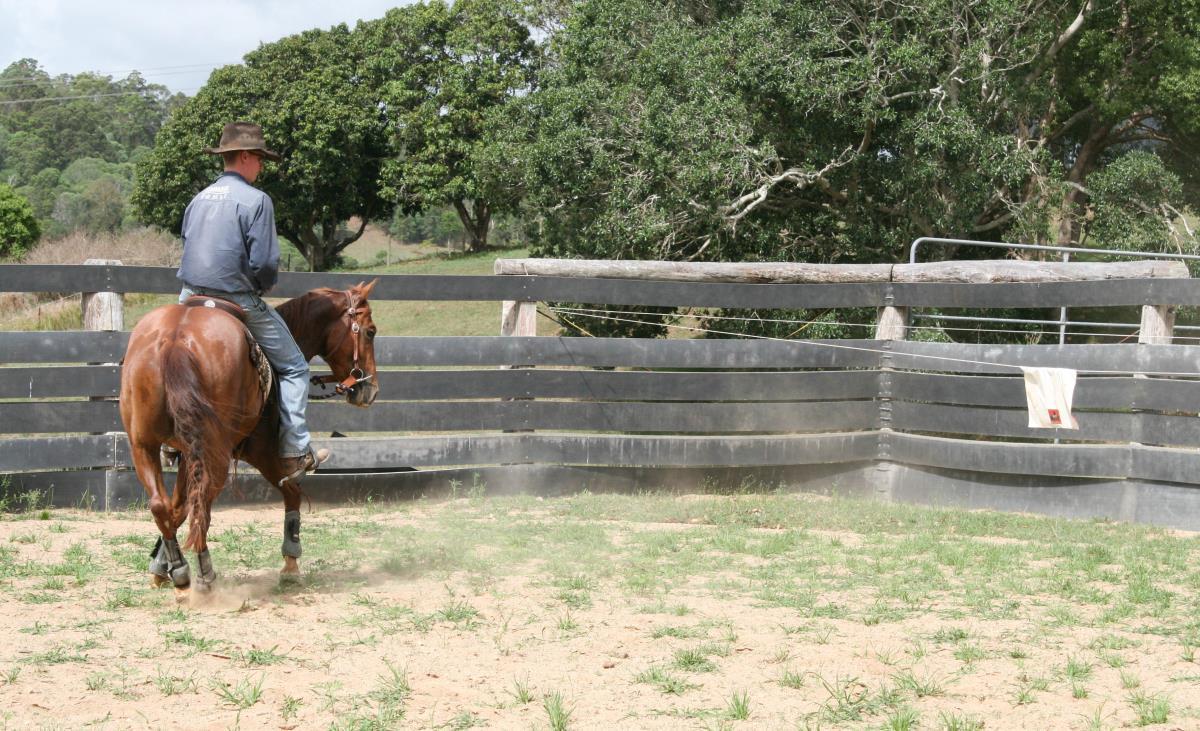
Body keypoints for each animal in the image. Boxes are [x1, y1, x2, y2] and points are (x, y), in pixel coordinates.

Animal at [118, 280, 380, 594]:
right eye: (370, 331)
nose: (371, 390)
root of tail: (176, 339)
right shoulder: (264, 454)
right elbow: (292, 491)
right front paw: (291, 563)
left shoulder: (186, 456)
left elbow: (177, 507)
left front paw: (160, 566)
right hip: (214, 454)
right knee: (201, 506)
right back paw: (205, 576)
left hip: (143, 445)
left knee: (161, 504)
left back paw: (181, 569)